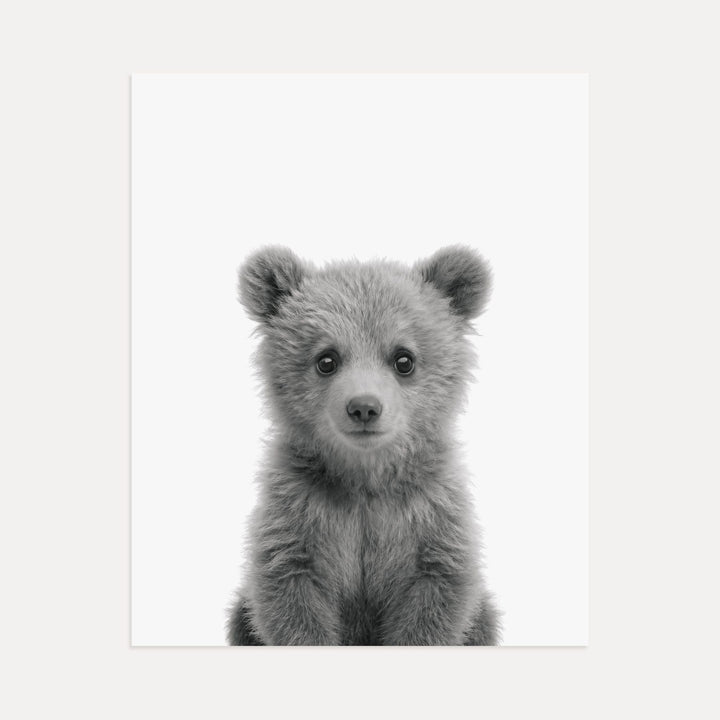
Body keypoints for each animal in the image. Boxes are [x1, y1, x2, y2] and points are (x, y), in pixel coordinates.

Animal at [227, 245, 500, 645]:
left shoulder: (429, 517)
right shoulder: (298, 514)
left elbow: (434, 599)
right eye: (326, 359)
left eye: (404, 359)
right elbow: (291, 598)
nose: (364, 407)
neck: (365, 479)